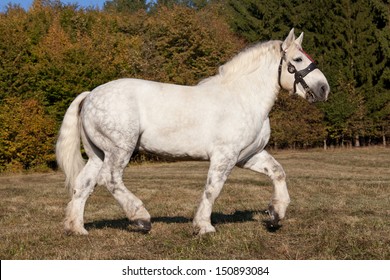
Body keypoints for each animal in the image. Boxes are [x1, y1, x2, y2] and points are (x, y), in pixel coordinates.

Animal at [55, 29, 330, 234]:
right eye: (298, 60)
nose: (324, 89)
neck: (243, 97)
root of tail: (90, 94)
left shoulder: (247, 156)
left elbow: (278, 173)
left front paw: (275, 214)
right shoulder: (224, 156)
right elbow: (213, 188)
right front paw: (203, 226)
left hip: (98, 154)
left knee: (84, 184)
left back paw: (77, 228)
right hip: (119, 149)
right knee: (110, 179)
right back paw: (141, 218)